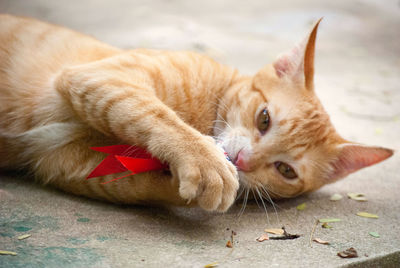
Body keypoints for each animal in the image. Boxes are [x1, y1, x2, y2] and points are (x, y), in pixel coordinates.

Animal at [0, 14, 394, 211]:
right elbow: (155, 115)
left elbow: (138, 186)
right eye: (264, 119)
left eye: (286, 170)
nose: (244, 161)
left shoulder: (67, 164)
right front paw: (205, 161)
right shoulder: (100, 77)